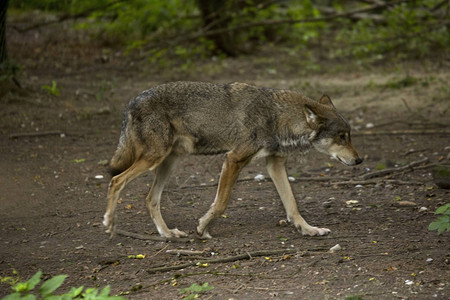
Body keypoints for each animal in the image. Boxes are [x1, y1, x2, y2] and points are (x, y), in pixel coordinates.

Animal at [103, 81, 362, 239]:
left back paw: (167, 234)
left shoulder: (275, 164)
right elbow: (221, 203)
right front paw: (203, 227)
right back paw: (110, 224)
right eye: (341, 137)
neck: (277, 115)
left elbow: (292, 204)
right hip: (154, 159)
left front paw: (309, 229)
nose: (359, 160)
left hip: (168, 162)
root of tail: (133, 101)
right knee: (116, 180)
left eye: (349, 136)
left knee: (150, 199)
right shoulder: (233, 159)